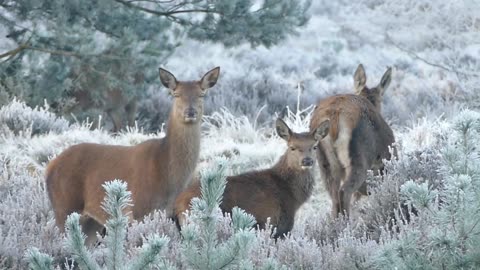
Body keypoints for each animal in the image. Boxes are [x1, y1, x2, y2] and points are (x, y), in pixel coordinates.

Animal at [44, 66, 220, 245]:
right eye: (176, 94)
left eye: (201, 94)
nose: (190, 112)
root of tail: (49, 166)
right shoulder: (137, 209)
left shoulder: (170, 213)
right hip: (64, 206)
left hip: (90, 221)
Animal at [175, 118, 330, 238]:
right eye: (292, 147)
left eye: (314, 146)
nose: (307, 161)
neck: (292, 197)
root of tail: (178, 203)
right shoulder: (274, 224)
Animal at [310, 63, 396, 217]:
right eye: (381, 99)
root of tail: (334, 117)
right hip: (358, 160)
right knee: (345, 192)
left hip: (325, 163)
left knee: (334, 198)